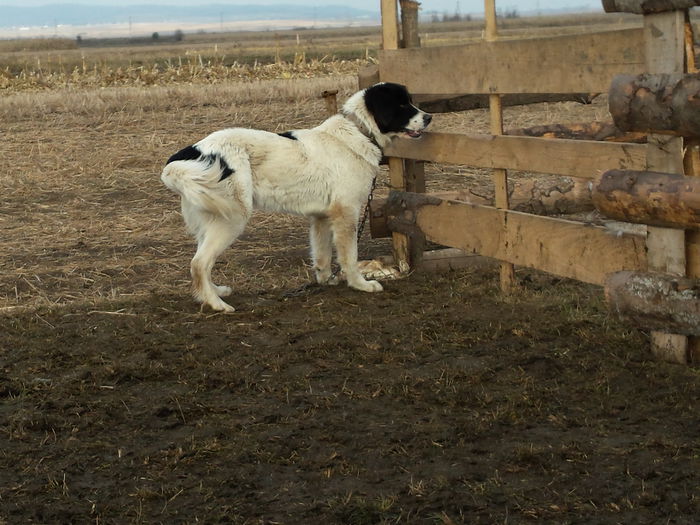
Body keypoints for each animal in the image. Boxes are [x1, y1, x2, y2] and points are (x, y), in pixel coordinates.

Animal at [163, 82, 432, 312]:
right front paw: (360, 284)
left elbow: (322, 254)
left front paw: (326, 280)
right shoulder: (346, 214)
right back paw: (217, 304)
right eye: (401, 105)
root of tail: (192, 152)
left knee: (202, 263)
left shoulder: (321, 217)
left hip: (212, 219)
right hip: (232, 218)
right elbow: (350, 256)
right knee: (199, 263)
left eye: (410, 101)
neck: (359, 130)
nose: (429, 117)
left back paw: (216, 292)